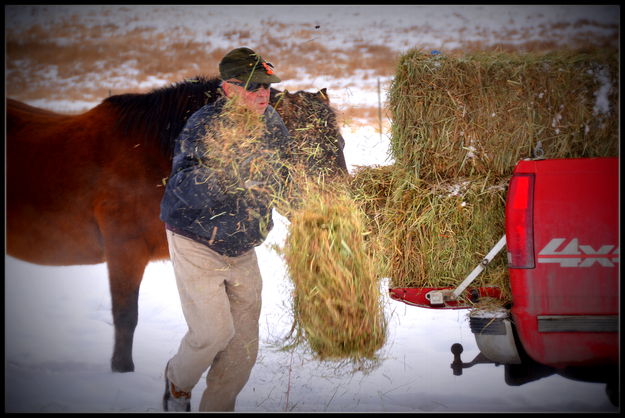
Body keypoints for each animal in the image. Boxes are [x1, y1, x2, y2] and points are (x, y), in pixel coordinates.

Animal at [6, 76, 346, 372]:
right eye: (300, 151)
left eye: (341, 143)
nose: (342, 205)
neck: (153, 154)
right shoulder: (124, 253)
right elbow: (126, 317)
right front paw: (122, 370)